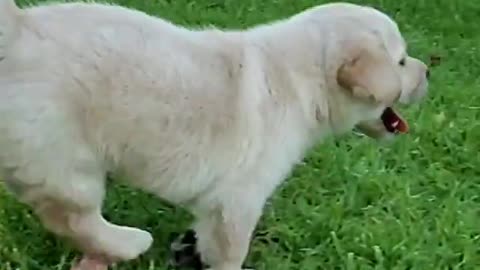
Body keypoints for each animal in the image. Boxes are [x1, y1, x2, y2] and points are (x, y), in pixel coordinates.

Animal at [0, 0, 430, 270]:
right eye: (401, 62)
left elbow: (208, 234)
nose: (428, 72)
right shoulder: (240, 198)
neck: (301, 84)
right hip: (63, 152)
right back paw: (128, 242)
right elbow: (231, 250)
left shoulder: (220, 203)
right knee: (71, 216)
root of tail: (18, 28)